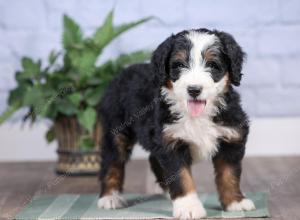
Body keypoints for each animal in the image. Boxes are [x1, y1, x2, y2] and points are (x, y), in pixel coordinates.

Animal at [96, 28, 255, 218]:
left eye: (213, 65)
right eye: (179, 65)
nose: (194, 89)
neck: (197, 115)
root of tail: (121, 73)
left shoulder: (230, 138)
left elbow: (229, 174)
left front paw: (235, 202)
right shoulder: (172, 143)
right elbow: (182, 177)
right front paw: (189, 208)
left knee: (153, 159)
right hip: (116, 130)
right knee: (112, 162)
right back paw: (110, 197)